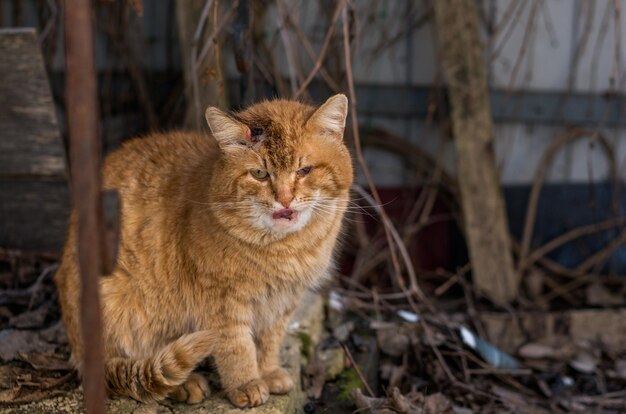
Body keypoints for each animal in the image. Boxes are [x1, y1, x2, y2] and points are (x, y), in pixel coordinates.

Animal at [54, 94, 352, 408]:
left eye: (304, 171)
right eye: (260, 174)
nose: (284, 200)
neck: (284, 249)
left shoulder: (281, 304)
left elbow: (269, 343)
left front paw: (268, 372)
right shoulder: (221, 304)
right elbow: (237, 347)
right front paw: (247, 383)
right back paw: (186, 384)